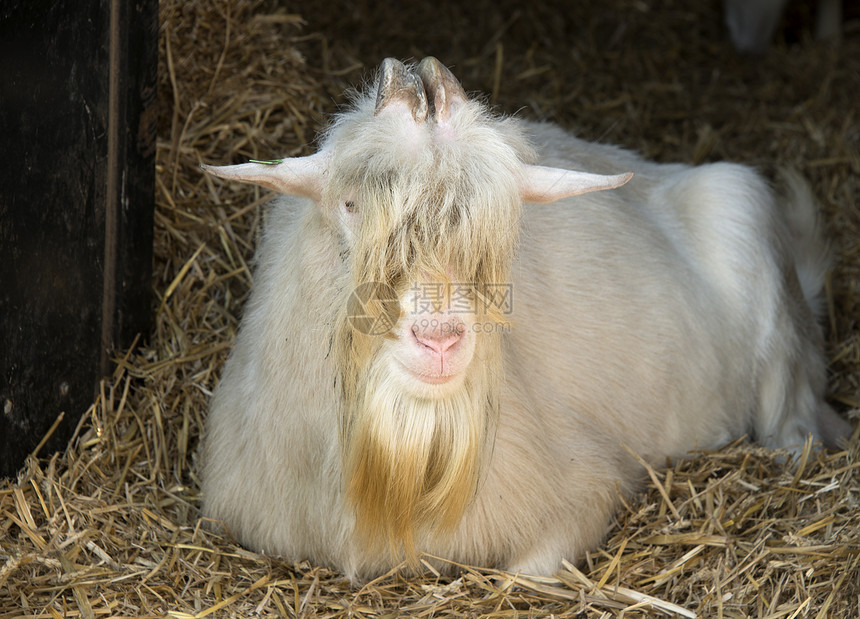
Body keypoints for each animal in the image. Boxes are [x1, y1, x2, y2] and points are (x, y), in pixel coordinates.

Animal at [203, 55, 852, 580]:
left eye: (497, 231)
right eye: (350, 205)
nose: (440, 339)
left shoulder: (585, 487)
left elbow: (526, 574)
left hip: (745, 213)